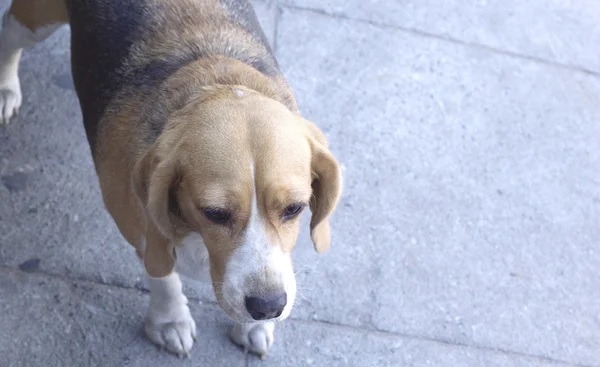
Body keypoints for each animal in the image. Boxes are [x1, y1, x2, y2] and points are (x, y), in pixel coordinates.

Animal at [0, 0, 342, 360]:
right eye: (214, 213)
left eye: (295, 209)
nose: (268, 307)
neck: (217, 82)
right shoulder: (141, 229)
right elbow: (163, 276)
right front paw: (170, 321)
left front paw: (253, 327)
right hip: (36, 20)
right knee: (8, 31)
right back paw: (6, 88)